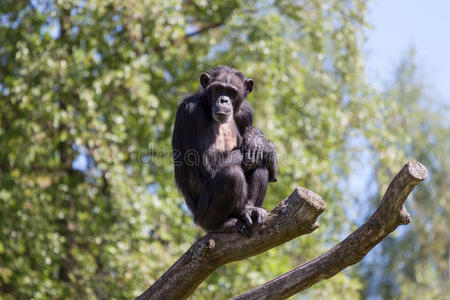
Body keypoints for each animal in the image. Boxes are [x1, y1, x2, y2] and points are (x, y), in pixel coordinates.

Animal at [172, 66, 278, 237]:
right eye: (218, 89)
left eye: (231, 92)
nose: (224, 100)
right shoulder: (191, 113)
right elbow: (209, 163)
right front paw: (267, 148)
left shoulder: (245, 112)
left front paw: (256, 139)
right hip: (202, 218)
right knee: (231, 175)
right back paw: (221, 224)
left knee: (261, 166)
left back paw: (251, 209)